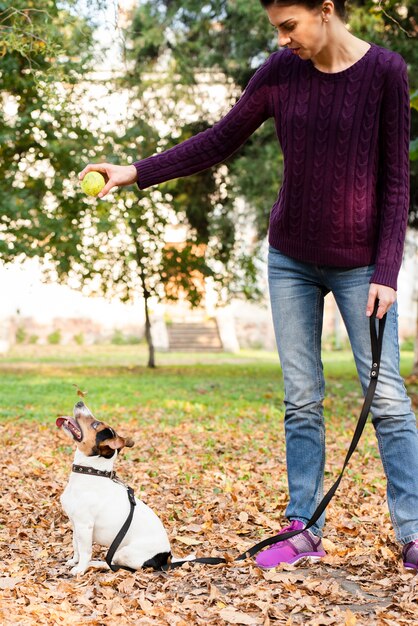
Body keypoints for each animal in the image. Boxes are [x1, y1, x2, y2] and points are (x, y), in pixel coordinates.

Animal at [56, 402, 171, 572]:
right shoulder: (75, 525)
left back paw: (95, 564)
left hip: (124, 552)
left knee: (115, 565)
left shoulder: (84, 526)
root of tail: (167, 557)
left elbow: (85, 551)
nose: (80, 403)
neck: (91, 473)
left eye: (95, 424)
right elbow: (75, 546)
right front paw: (74, 561)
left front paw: (80, 569)